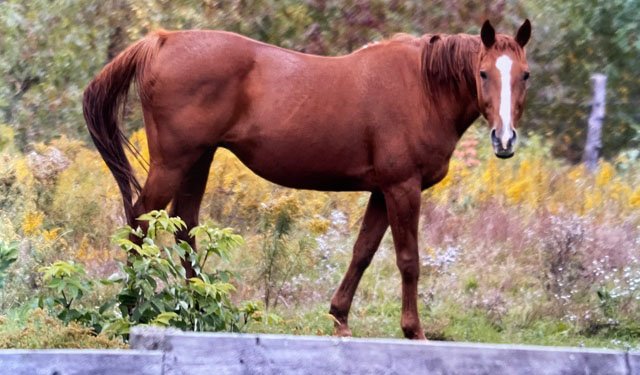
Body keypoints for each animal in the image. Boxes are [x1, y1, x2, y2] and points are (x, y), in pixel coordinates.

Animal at [86, 19, 536, 340]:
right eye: (483, 73)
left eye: (525, 75)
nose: (505, 139)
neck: (423, 87)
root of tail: (162, 41)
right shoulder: (402, 188)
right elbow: (408, 260)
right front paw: (414, 331)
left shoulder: (382, 191)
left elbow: (362, 252)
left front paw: (340, 318)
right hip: (174, 162)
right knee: (141, 220)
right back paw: (131, 302)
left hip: (199, 159)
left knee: (185, 226)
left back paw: (198, 303)